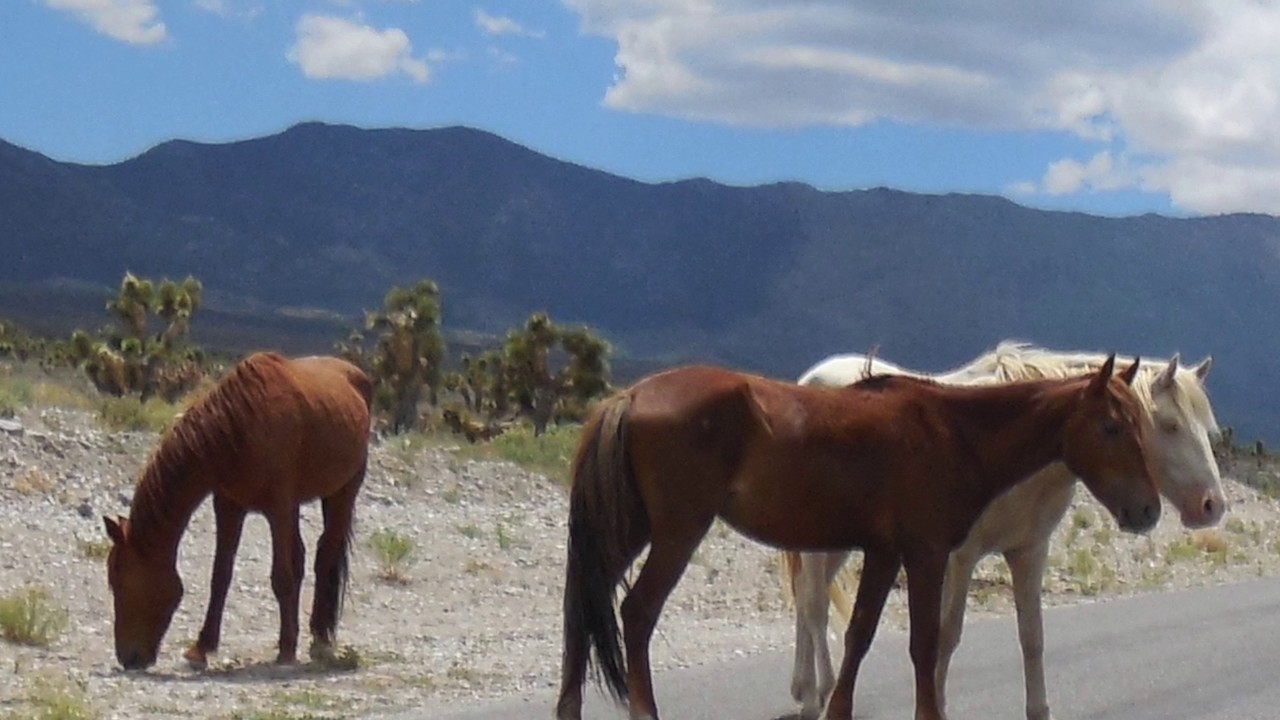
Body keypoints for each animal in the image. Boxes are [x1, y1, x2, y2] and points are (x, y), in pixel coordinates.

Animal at [102, 352, 374, 671]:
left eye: (120, 582)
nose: (127, 657)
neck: (238, 428)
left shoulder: (278, 508)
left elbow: (282, 576)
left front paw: (286, 649)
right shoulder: (229, 507)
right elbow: (221, 575)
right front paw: (201, 648)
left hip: (343, 492)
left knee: (325, 556)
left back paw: (320, 639)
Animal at [556, 358, 1160, 720]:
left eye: (1140, 426)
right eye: (1112, 426)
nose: (1148, 510)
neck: (951, 431)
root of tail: (631, 396)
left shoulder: (884, 553)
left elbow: (859, 636)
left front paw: (836, 708)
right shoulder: (924, 554)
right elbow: (924, 644)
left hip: (629, 531)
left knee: (583, 608)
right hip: (677, 533)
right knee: (636, 614)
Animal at [785, 342, 1224, 720]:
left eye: (1206, 428)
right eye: (1169, 425)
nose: (1212, 505)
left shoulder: (1029, 551)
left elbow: (1032, 637)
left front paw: (1039, 710)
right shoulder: (959, 557)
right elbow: (946, 636)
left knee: (810, 598)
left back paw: (810, 688)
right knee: (813, 603)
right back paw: (815, 696)